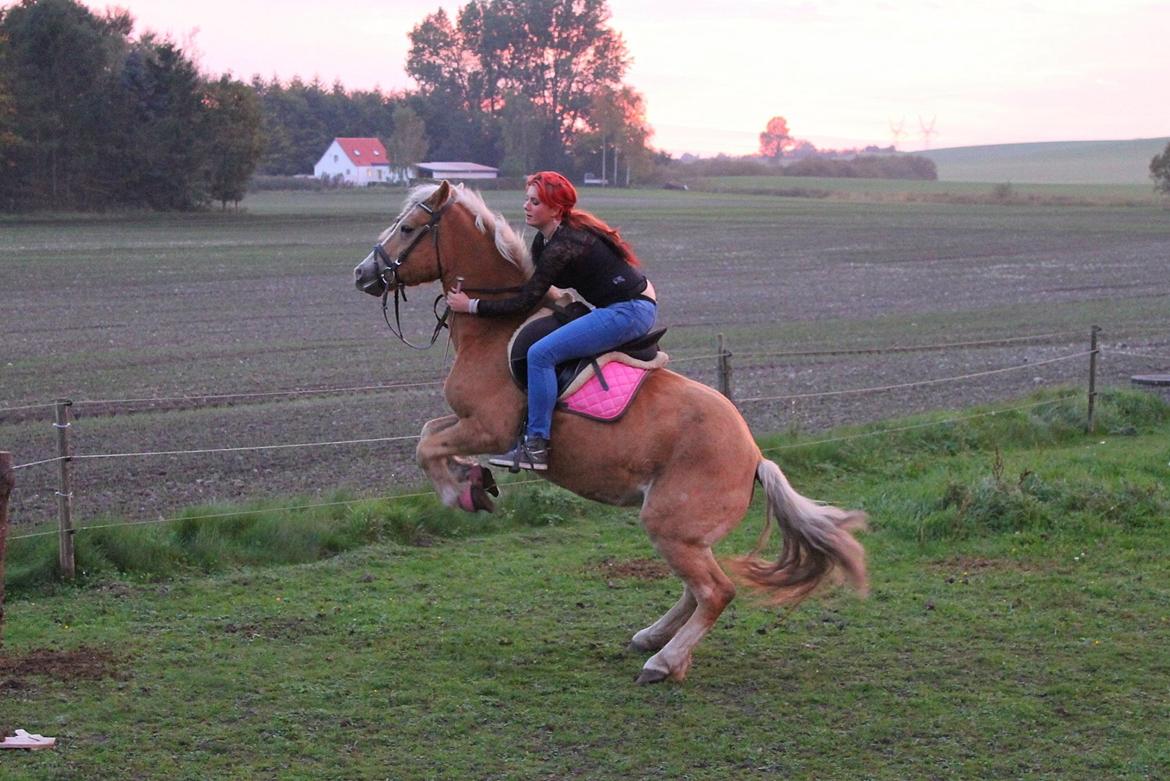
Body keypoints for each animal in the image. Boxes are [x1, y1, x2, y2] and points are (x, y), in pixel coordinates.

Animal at [351, 181, 865, 682]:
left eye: (408, 228)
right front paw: (472, 480)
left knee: (715, 591)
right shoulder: (469, 422)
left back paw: (663, 663)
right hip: (686, 533)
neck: (495, 329)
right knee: (697, 590)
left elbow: (427, 447)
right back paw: (653, 639)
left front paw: (459, 493)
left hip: (669, 525)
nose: (361, 274)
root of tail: (755, 456)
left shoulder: (489, 429)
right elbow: (429, 433)